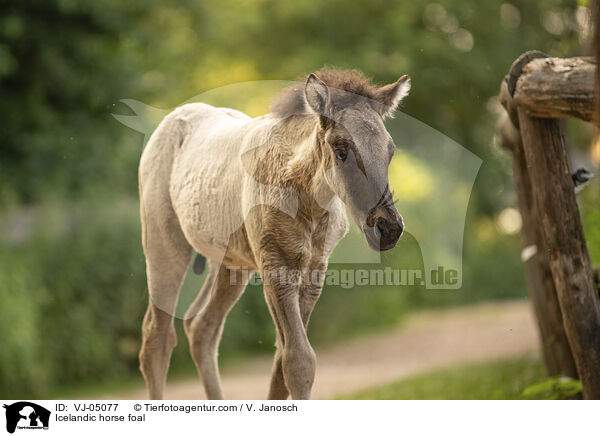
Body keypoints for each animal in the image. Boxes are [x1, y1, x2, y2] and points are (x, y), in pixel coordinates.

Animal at [138, 67, 410, 398]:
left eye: (389, 150)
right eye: (341, 150)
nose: (389, 227)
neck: (306, 199)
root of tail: (172, 118)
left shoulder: (314, 271)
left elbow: (282, 364)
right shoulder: (276, 265)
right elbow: (298, 362)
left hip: (232, 263)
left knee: (201, 326)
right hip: (164, 244)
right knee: (157, 338)